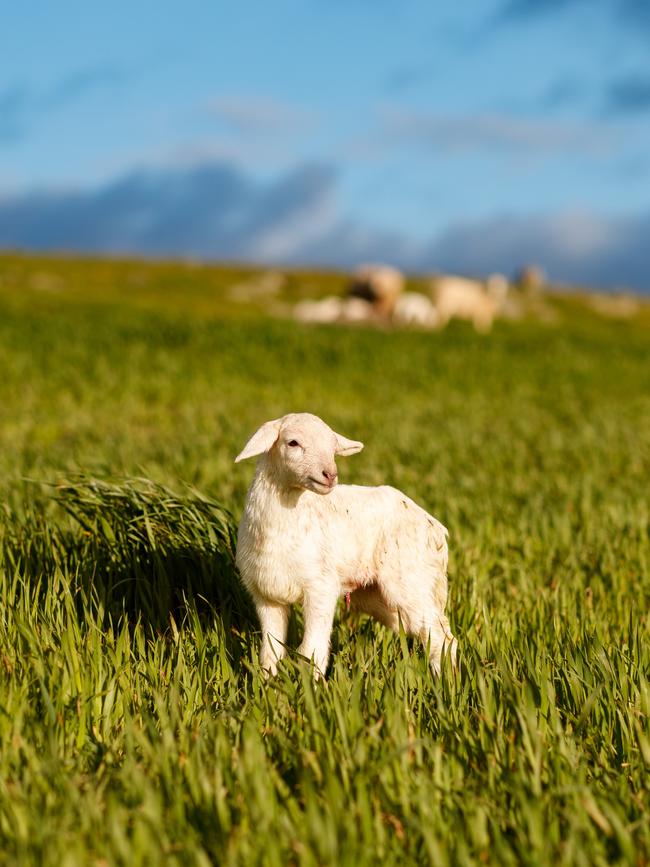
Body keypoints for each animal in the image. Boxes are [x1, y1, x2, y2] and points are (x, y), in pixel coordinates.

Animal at [234, 414, 456, 680]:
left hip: (412, 581)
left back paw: (446, 682)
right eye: (292, 443)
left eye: (333, 448)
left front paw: (310, 687)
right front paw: (270, 686)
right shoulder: (266, 595)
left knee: (442, 636)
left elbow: (311, 650)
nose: (330, 474)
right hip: (378, 596)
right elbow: (270, 652)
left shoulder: (321, 587)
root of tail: (437, 528)